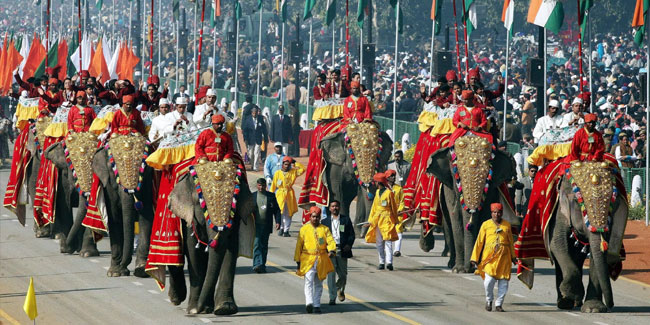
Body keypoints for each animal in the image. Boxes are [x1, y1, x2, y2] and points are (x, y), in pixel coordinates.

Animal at [92, 134, 155, 276]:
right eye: (112, 169)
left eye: (145, 169)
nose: (124, 265)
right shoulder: (108, 186)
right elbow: (114, 218)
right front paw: (115, 273)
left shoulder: (148, 183)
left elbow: (146, 217)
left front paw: (141, 270)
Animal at [166, 159, 254, 314]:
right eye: (200, 203)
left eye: (234, 202)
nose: (198, 311)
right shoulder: (189, 216)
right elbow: (193, 251)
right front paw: (194, 309)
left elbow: (231, 248)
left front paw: (224, 309)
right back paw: (177, 299)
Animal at [426, 135, 516, 272]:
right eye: (455, 173)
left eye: (489, 173)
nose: (470, 267)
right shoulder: (450, 189)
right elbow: (455, 216)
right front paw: (459, 270)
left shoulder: (492, 190)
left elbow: (485, 216)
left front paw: (480, 266)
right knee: (448, 224)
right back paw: (451, 264)